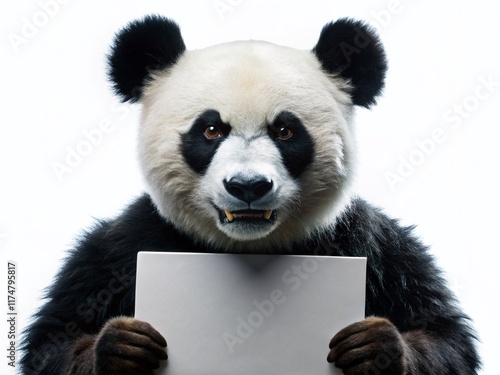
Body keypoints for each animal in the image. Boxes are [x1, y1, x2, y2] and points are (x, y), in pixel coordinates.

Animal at [20, 14, 480, 375]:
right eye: (211, 129)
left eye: (285, 130)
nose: (247, 186)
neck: (247, 247)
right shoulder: (124, 246)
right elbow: (54, 339)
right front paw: (123, 348)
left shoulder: (369, 244)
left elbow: (446, 339)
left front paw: (374, 347)